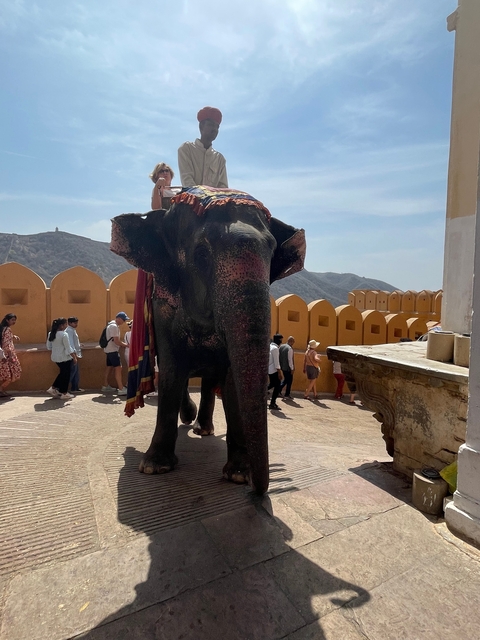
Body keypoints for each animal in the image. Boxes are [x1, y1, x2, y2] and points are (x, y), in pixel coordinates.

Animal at [110, 187, 306, 495]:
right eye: (201, 253)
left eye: (272, 252)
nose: (257, 488)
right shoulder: (163, 308)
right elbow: (171, 370)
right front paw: (154, 467)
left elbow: (232, 378)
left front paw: (238, 473)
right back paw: (189, 420)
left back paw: (203, 428)